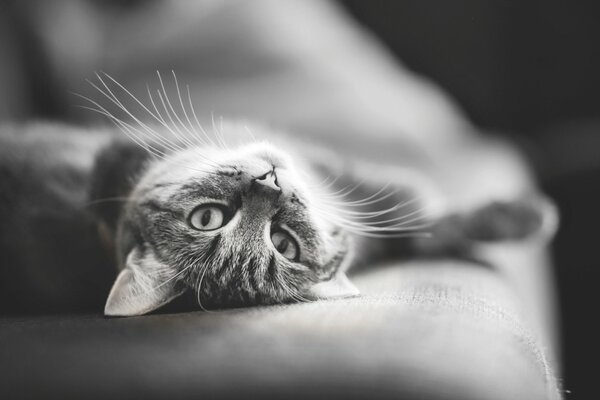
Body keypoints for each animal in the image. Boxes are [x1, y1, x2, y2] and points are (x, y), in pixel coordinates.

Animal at [0, 76, 556, 318]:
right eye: (209, 219)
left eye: (283, 241)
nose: (271, 184)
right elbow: (415, 200)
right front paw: (532, 215)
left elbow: (418, 212)